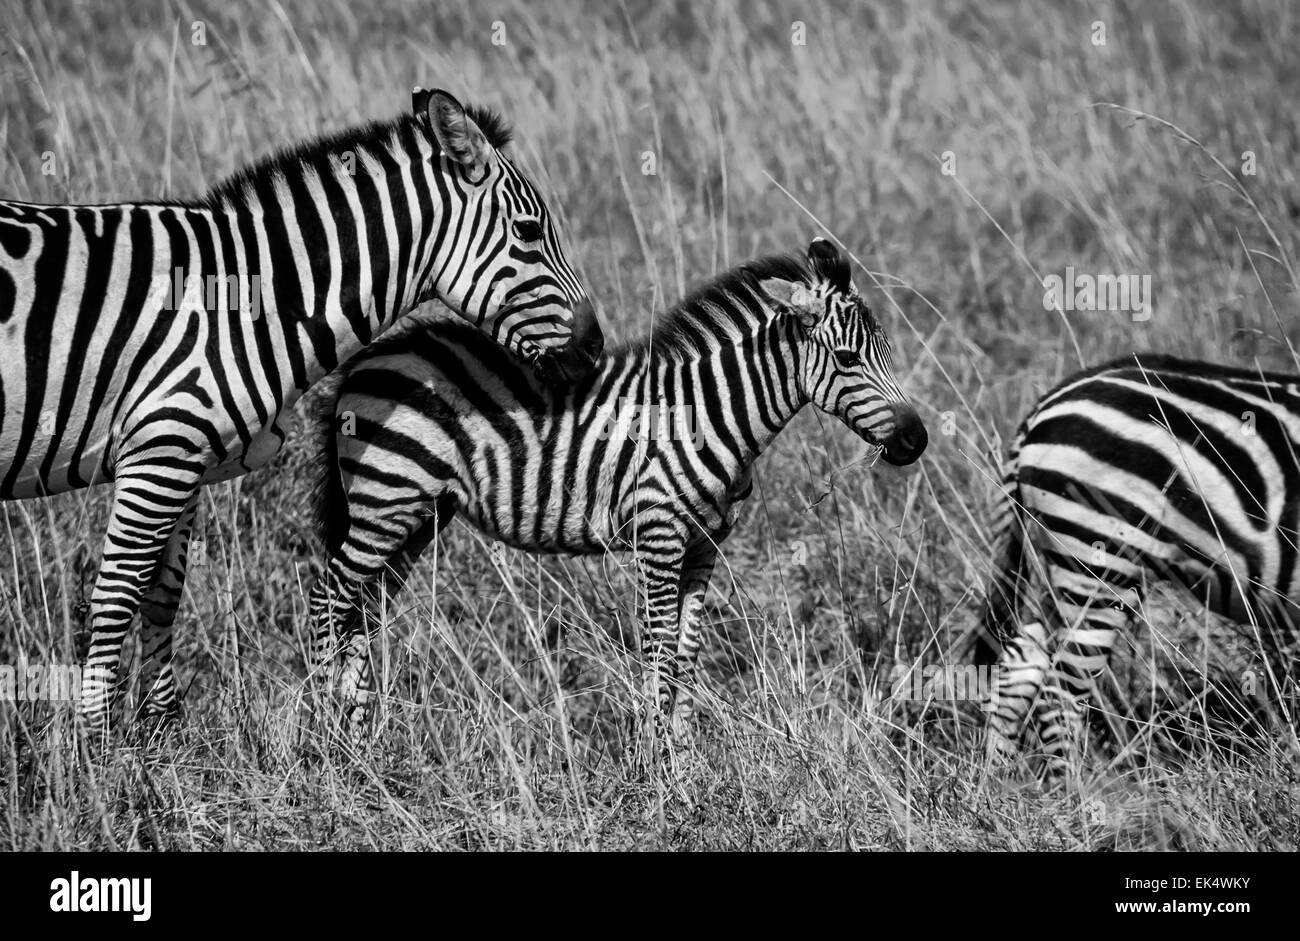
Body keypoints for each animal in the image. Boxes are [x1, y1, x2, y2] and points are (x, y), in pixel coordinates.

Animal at [0, 88, 604, 727]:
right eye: (529, 231)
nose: (596, 347)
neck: (245, 300)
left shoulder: (182, 456)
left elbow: (163, 593)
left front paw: (162, 729)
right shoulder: (161, 448)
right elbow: (118, 597)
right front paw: (98, 741)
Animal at [308, 237, 927, 737]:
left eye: (888, 350)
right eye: (847, 358)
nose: (917, 440)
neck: (710, 414)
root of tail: (372, 355)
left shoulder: (704, 545)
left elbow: (687, 653)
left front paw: (684, 762)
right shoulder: (659, 536)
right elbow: (658, 653)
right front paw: (657, 775)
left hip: (417, 516)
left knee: (358, 612)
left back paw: (362, 738)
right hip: (385, 501)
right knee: (327, 597)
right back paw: (331, 742)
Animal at [973, 353, 1300, 776]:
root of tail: (1044, 407)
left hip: (1062, 560)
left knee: (1021, 662)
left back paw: (998, 780)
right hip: (1098, 555)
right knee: (1058, 695)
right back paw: (1077, 791)